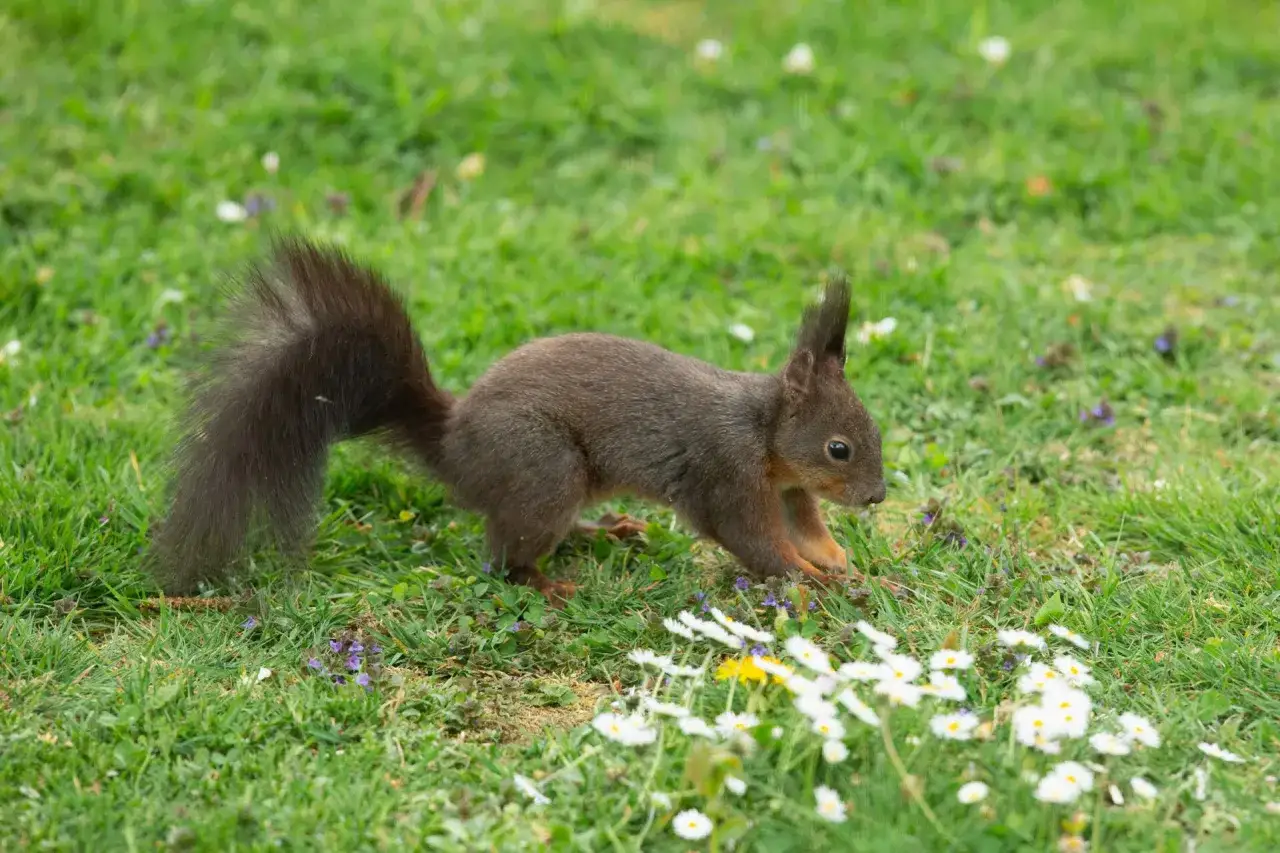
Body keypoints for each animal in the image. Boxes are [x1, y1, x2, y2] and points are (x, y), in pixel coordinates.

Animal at [150, 236, 887, 601]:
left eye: (874, 432)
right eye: (840, 448)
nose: (878, 497)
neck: (765, 433)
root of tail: (454, 444)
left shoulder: (788, 488)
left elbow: (806, 528)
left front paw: (842, 563)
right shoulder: (727, 474)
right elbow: (754, 540)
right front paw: (812, 579)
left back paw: (605, 531)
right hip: (543, 468)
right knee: (503, 557)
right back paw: (549, 582)